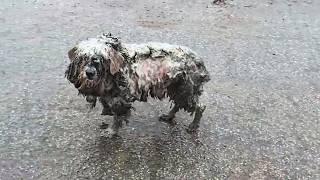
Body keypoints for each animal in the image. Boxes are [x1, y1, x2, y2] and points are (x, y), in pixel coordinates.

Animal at [65, 33, 210, 136]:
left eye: (101, 60)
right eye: (83, 59)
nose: (89, 73)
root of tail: (199, 60)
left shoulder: (121, 98)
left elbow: (118, 117)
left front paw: (112, 131)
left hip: (187, 88)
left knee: (200, 107)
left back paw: (193, 126)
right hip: (177, 87)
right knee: (178, 104)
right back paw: (169, 116)